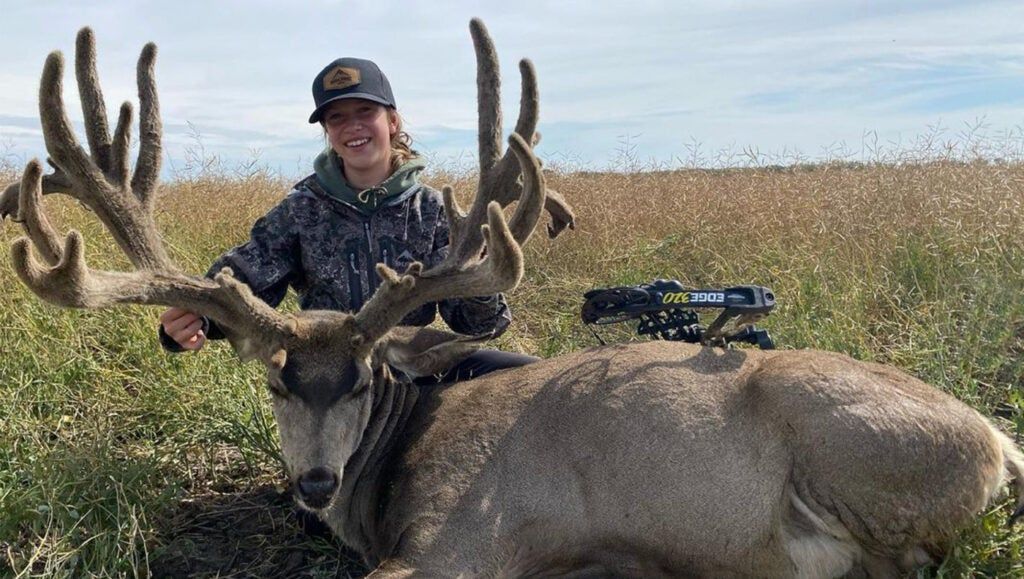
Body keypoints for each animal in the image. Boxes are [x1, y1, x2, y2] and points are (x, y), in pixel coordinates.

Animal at [5, 19, 1024, 579]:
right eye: (276, 382)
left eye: (363, 381)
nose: (315, 483)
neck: (393, 464)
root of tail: (999, 443)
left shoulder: (463, 537)